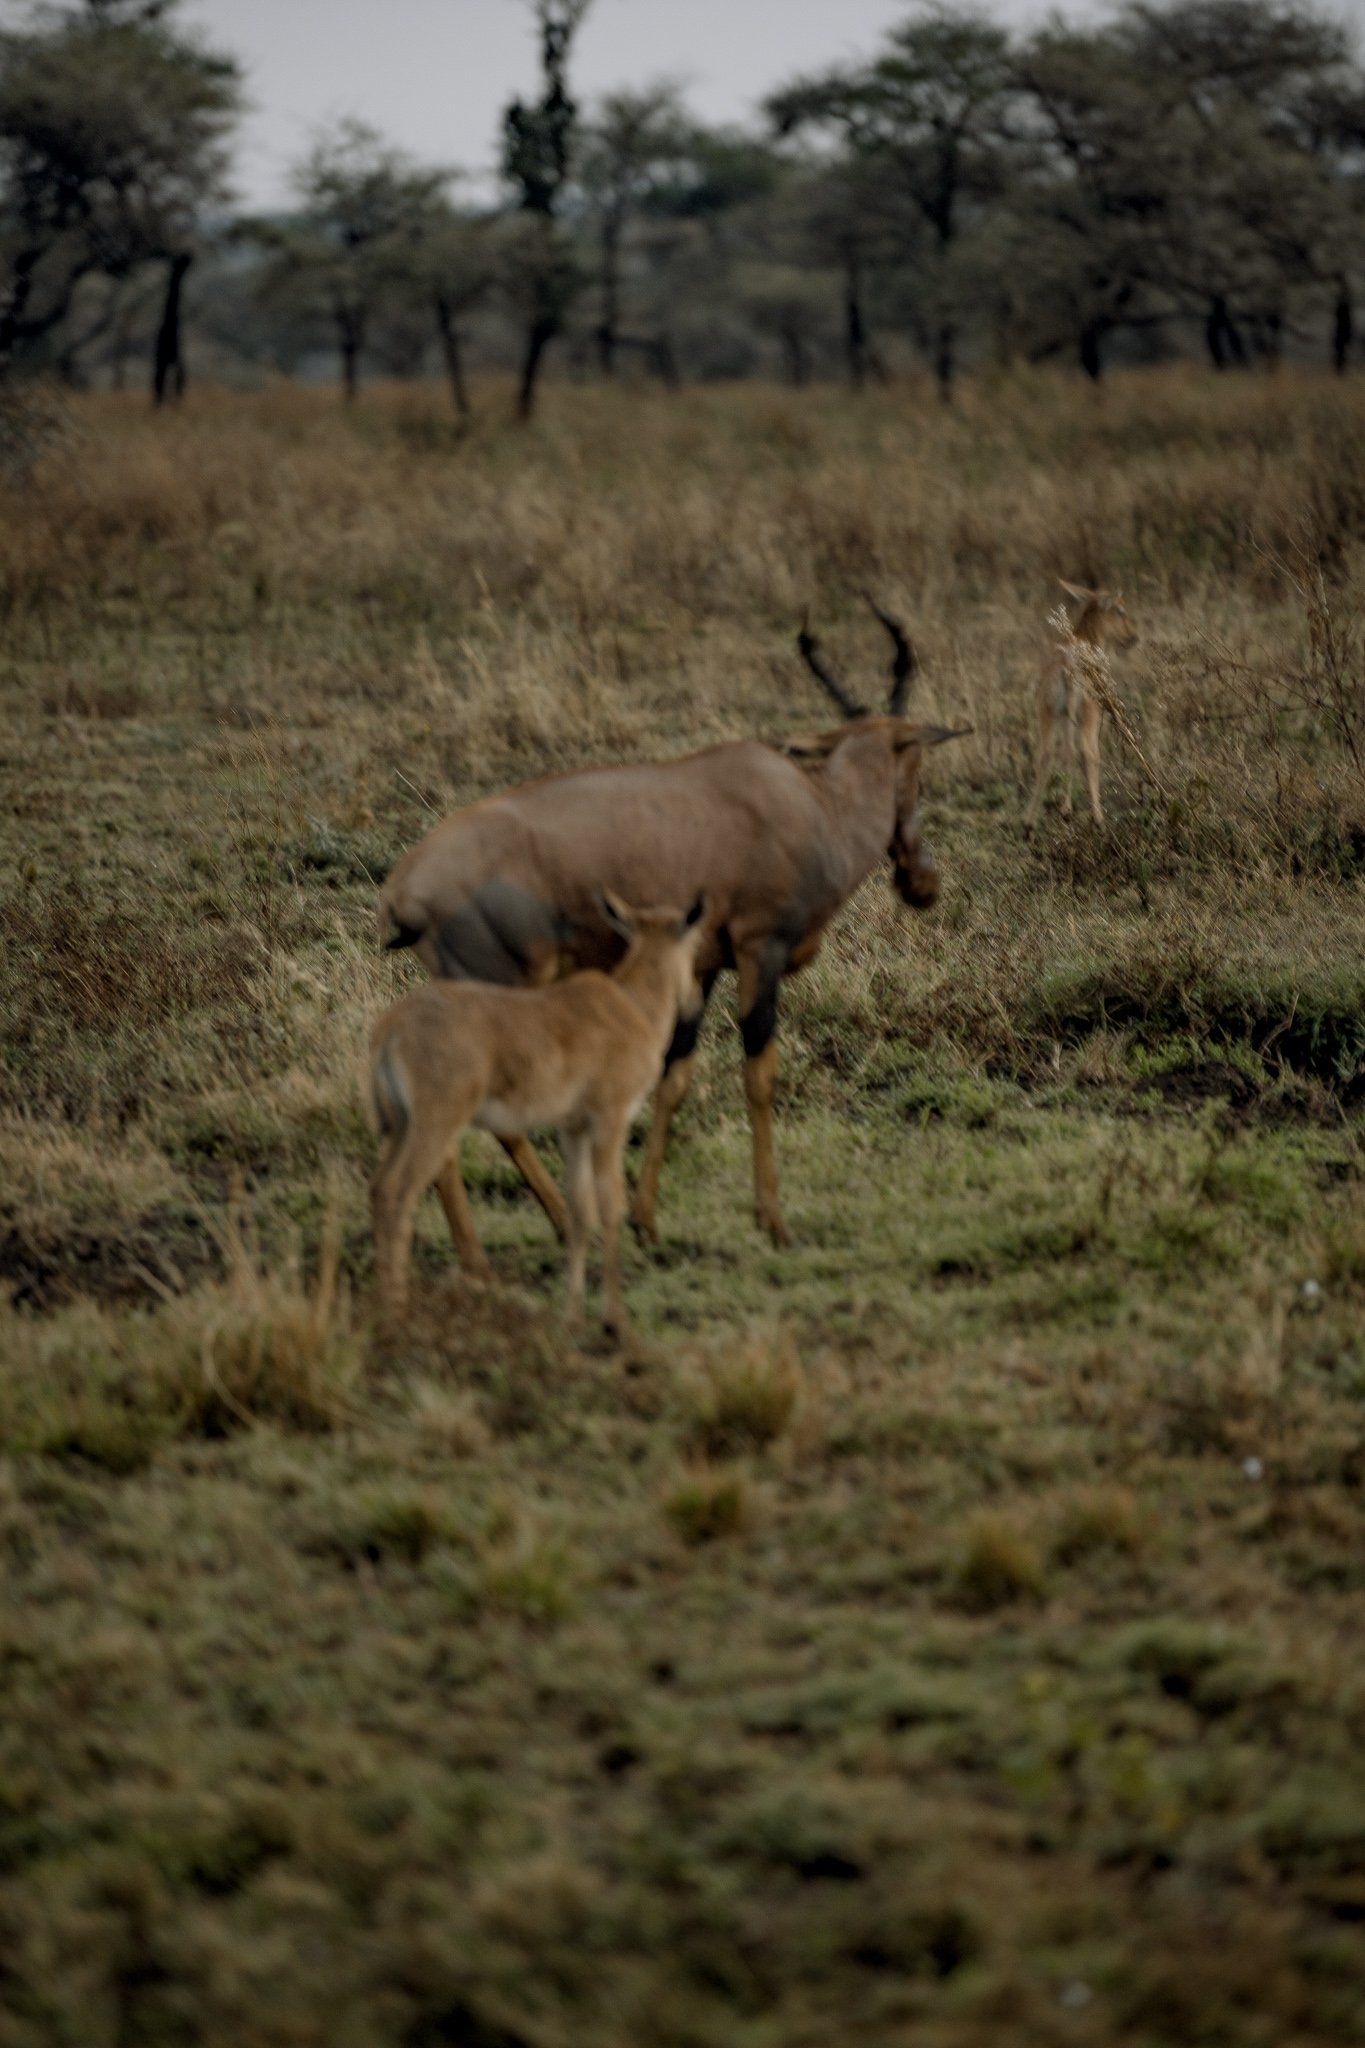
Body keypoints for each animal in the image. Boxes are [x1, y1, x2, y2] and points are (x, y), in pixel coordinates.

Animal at [370, 892, 705, 1334]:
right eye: (695, 943)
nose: (695, 1001)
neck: (626, 1005)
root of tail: (391, 1027)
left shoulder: (573, 1129)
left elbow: (581, 1212)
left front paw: (572, 1316)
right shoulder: (609, 1121)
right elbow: (610, 1205)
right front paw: (615, 1320)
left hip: (400, 1127)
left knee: (379, 1189)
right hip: (434, 1124)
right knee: (399, 1192)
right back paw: (397, 1313)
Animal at [379, 598, 969, 1247]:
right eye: (916, 766)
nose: (923, 884)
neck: (809, 802)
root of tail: (406, 888)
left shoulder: (701, 965)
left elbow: (674, 1076)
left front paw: (647, 1220)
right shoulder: (760, 952)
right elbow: (759, 1075)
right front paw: (773, 1222)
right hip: (501, 985)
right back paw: (561, 1224)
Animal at [1025, 580, 1139, 828]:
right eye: (1120, 609)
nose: (1133, 637)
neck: (1084, 638)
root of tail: (1067, 666)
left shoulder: (1064, 717)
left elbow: (1066, 753)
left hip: (1048, 714)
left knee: (1046, 754)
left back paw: (1030, 823)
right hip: (1088, 714)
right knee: (1088, 754)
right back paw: (1099, 819)